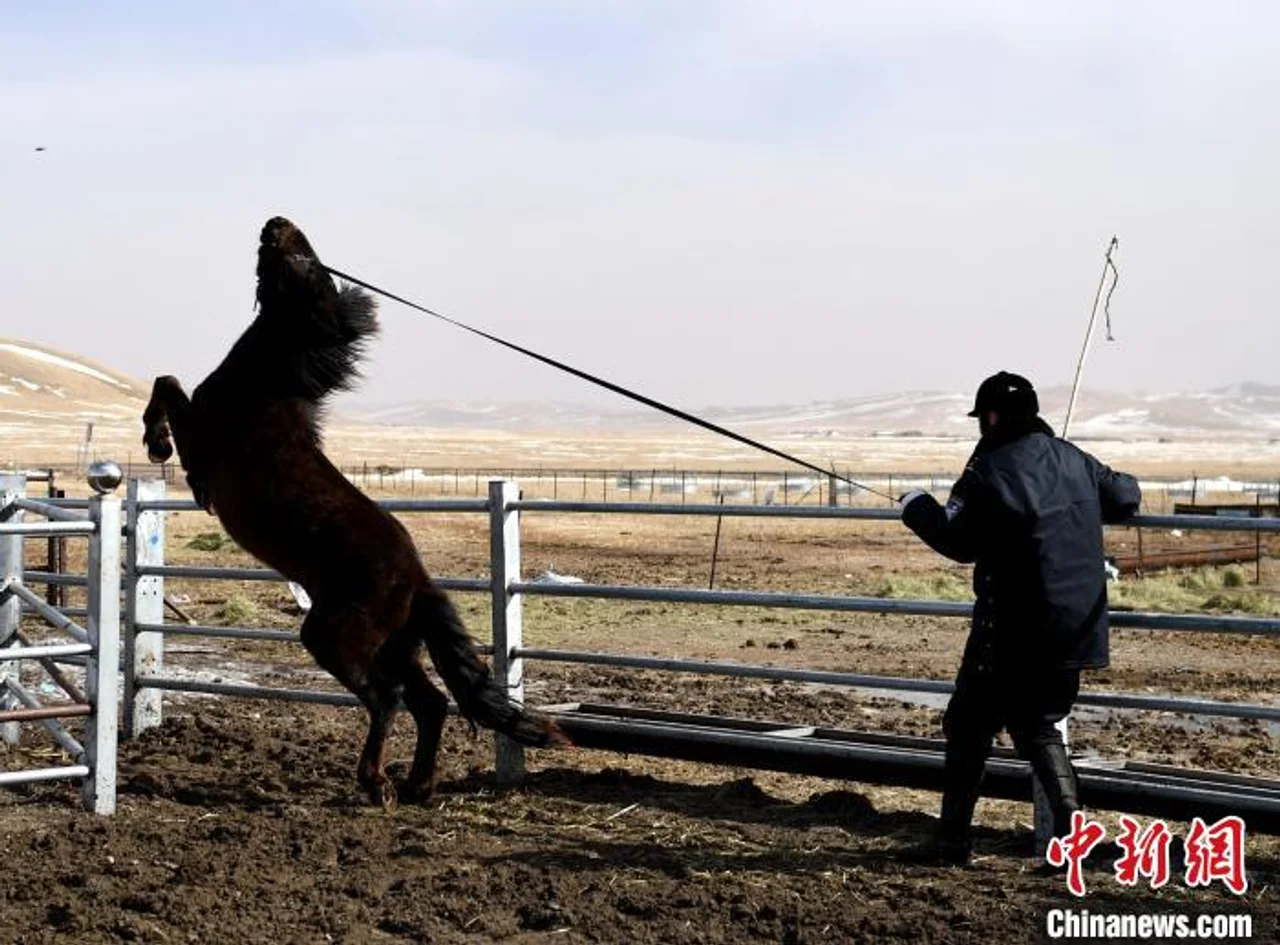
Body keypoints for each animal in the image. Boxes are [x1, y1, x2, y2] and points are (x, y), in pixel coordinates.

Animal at [141, 216, 566, 807]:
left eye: (308, 261)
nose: (275, 223)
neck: (264, 387)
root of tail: (417, 581)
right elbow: (166, 381)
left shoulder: (202, 433)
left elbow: (168, 385)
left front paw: (157, 444)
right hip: (394, 644)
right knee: (430, 702)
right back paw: (416, 786)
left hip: (334, 635)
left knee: (387, 699)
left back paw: (377, 783)